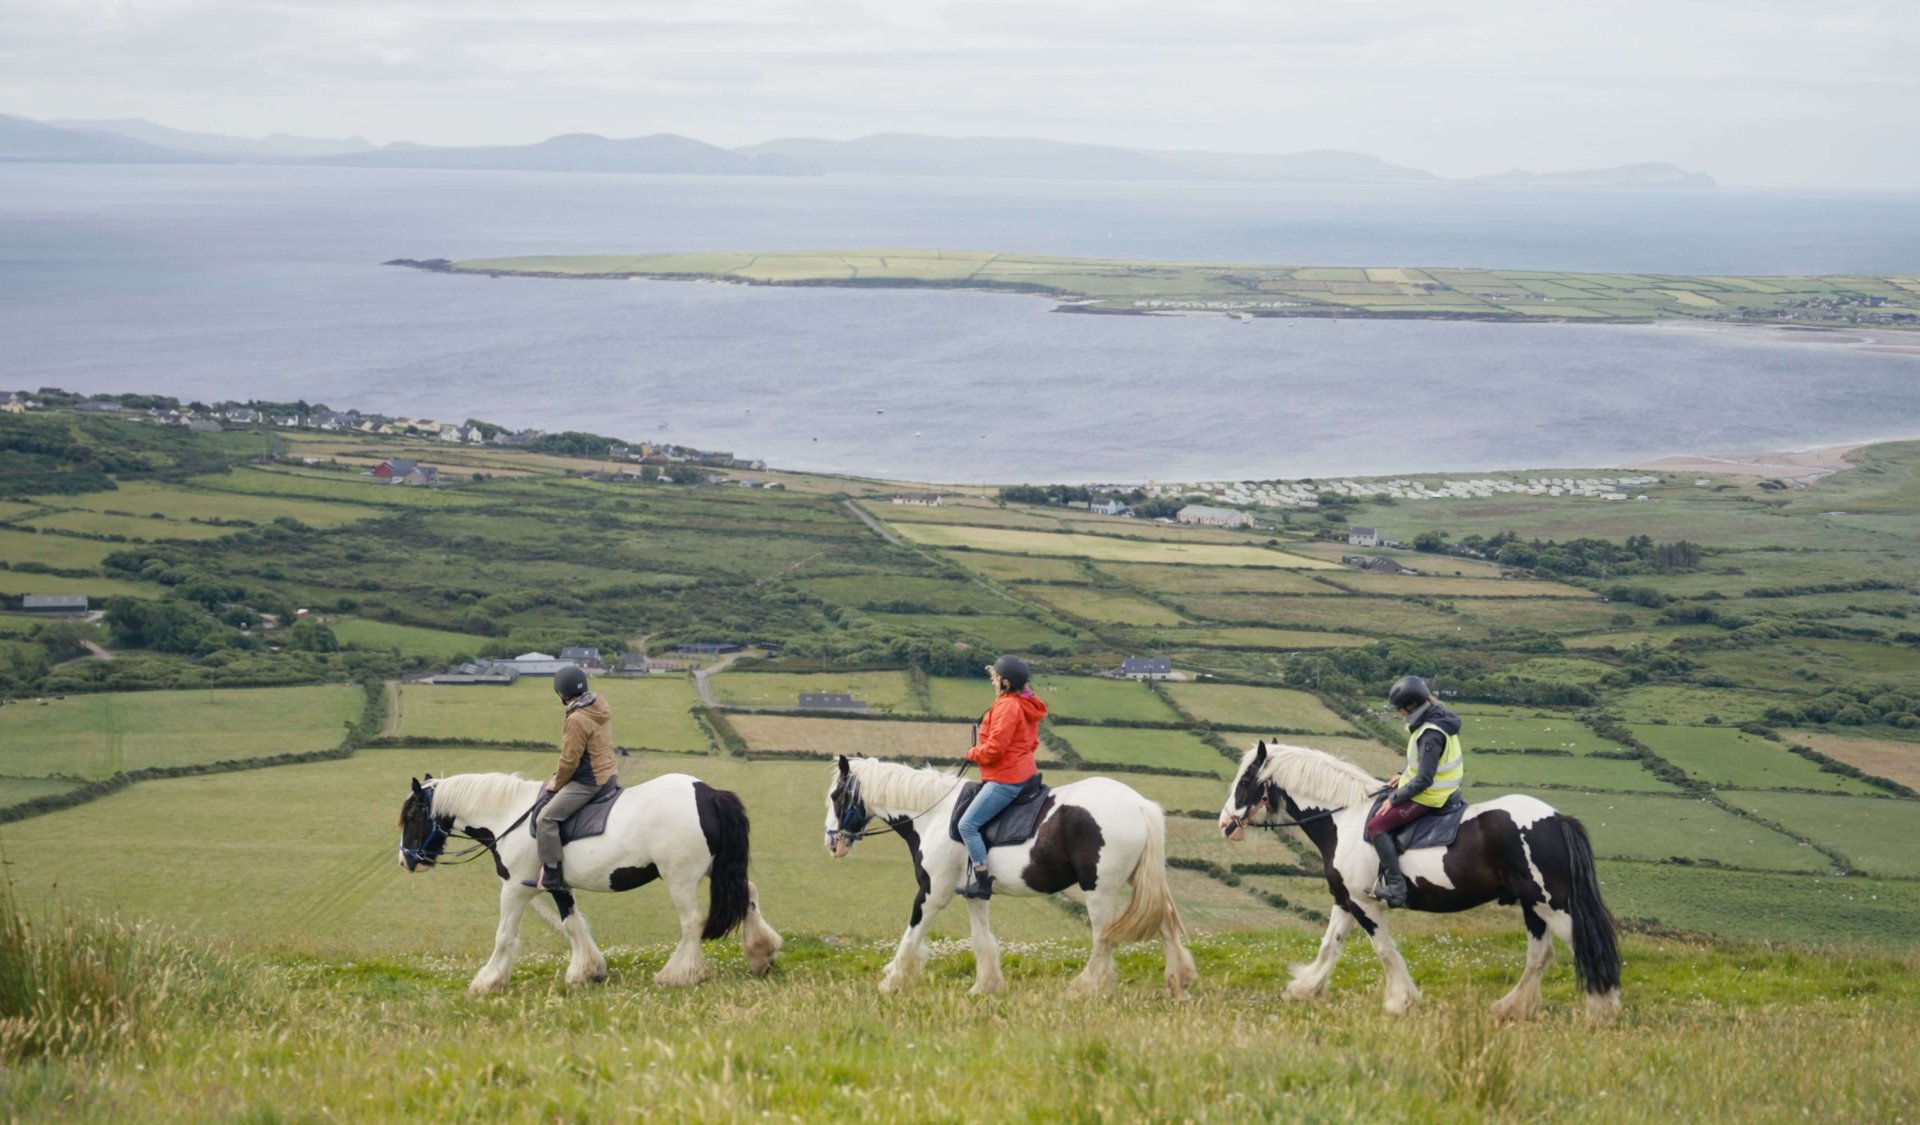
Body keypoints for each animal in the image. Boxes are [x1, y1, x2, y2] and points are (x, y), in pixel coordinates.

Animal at [393, 771, 783, 990]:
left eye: (412, 815)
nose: (406, 861)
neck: (507, 816)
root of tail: (708, 793)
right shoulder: (556, 885)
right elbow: (571, 924)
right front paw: (587, 971)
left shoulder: (515, 889)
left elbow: (504, 935)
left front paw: (487, 982)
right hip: (716, 868)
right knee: (748, 893)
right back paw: (761, 954)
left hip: (680, 878)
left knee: (692, 923)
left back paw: (678, 975)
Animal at [825, 752, 1198, 990]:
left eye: (835, 795)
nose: (831, 843)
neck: (934, 814)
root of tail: (1140, 804)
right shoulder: (973, 894)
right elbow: (981, 940)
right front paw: (985, 987)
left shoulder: (932, 893)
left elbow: (911, 935)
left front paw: (891, 982)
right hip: (1140, 881)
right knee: (1165, 925)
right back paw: (1178, 982)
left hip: (1099, 890)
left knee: (1104, 937)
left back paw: (1085, 987)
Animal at [1213, 741, 1620, 1021]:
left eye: (1246, 780)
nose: (1225, 824)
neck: (1345, 818)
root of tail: (1557, 818)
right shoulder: (1345, 900)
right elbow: (1330, 946)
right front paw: (1303, 989)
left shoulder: (1365, 903)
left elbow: (1384, 950)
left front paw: (1400, 1001)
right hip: (1532, 904)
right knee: (1540, 955)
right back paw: (1510, 1008)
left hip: (1551, 904)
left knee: (1583, 945)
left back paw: (1603, 1008)